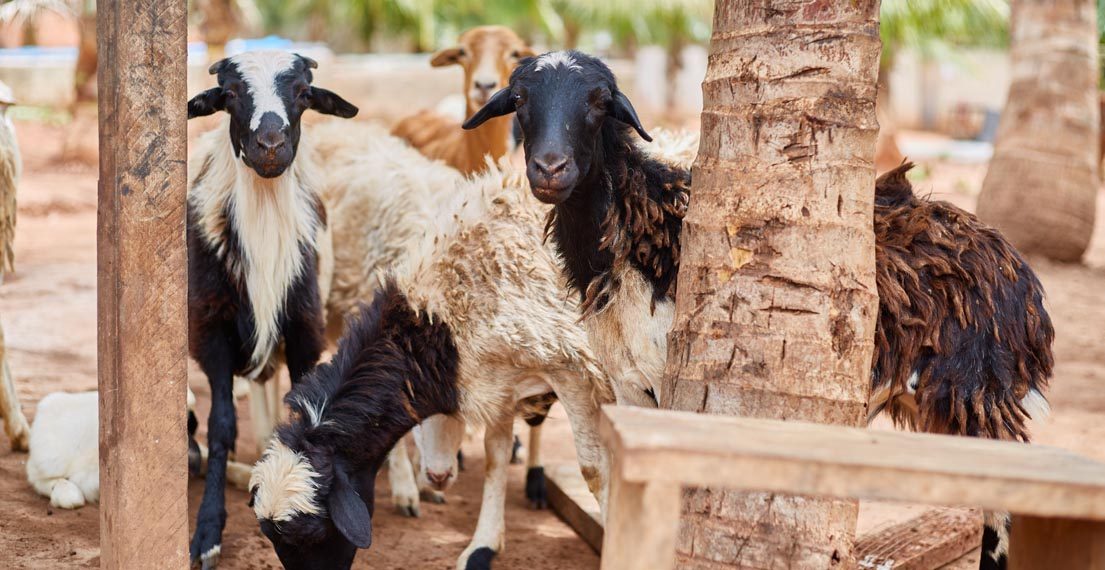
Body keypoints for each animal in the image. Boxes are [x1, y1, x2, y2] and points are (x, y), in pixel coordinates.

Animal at [185, 50, 358, 568]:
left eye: (302, 92)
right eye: (230, 94)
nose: (270, 144)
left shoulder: (305, 328)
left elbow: (307, 422)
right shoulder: (211, 330)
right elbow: (222, 427)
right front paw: (207, 533)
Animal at [250, 146, 613, 570]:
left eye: (313, 535)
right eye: (272, 539)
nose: (438, 477)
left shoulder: (571, 367)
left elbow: (596, 472)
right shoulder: (499, 376)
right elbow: (495, 456)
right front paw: (483, 545)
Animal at [465, 50, 1055, 570]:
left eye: (599, 101)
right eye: (520, 100)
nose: (550, 168)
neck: (636, 232)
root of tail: (1013, 265)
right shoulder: (628, 388)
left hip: (978, 390)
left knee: (1003, 508)